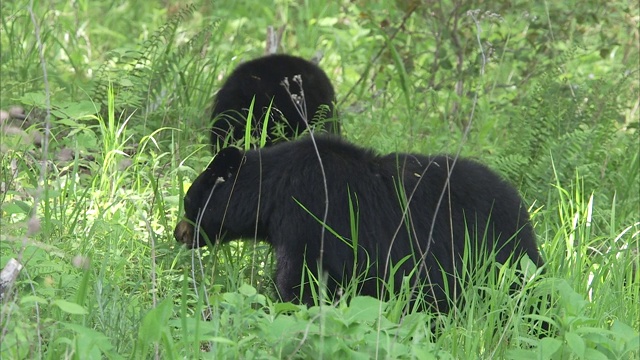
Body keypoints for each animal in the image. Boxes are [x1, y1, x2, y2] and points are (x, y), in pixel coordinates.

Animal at [172, 135, 544, 312]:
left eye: (189, 202)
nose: (178, 232)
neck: (275, 189)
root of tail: (524, 214)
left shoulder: (309, 217)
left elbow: (302, 278)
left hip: (488, 255)